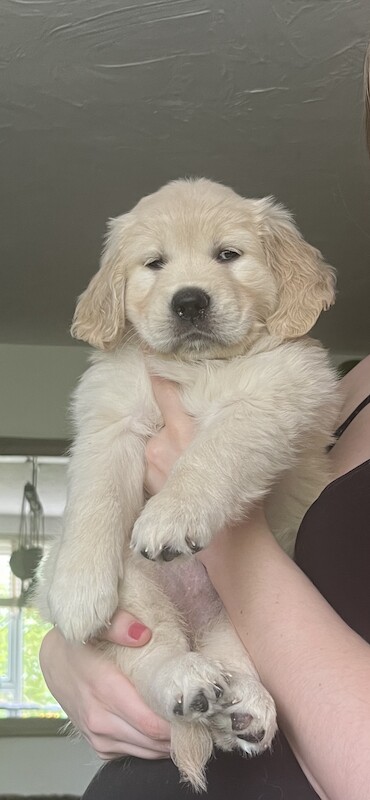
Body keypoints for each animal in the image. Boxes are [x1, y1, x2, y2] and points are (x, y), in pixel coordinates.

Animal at [36, 180, 338, 788]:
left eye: (228, 255)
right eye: (155, 264)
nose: (190, 301)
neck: (200, 365)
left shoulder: (273, 397)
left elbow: (212, 454)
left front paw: (172, 515)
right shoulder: (111, 418)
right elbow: (96, 499)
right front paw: (78, 590)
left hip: (236, 615)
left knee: (228, 662)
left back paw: (244, 708)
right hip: (137, 595)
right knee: (153, 656)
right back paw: (187, 681)